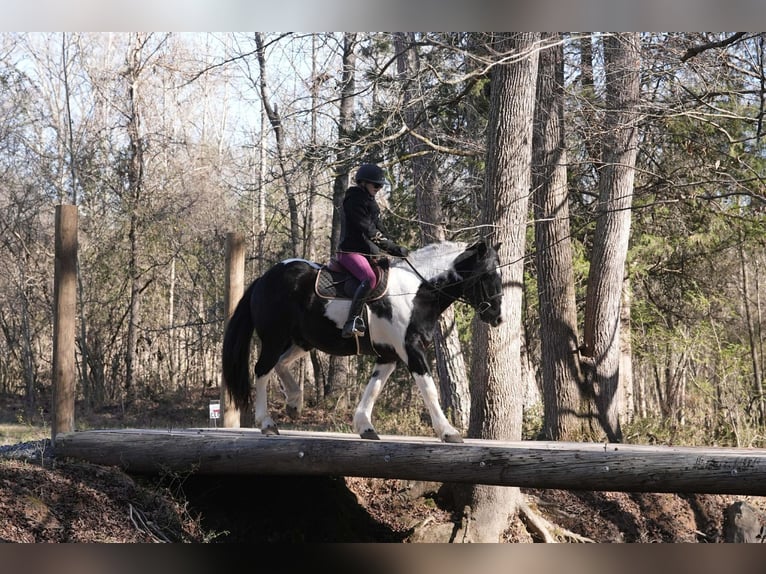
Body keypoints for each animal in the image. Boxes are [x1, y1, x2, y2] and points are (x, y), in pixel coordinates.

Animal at [221, 240, 503, 443]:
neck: (417, 292)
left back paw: (294, 403)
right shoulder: (411, 350)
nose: (497, 317)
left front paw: (365, 426)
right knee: (262, 370)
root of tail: (264, 278)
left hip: (302, 341)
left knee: (279, 365)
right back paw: (267, 423)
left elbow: (374, 388)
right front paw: (448, 432)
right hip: (275, 338)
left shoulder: (389, 355)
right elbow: (429, 389)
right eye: (487, 275)